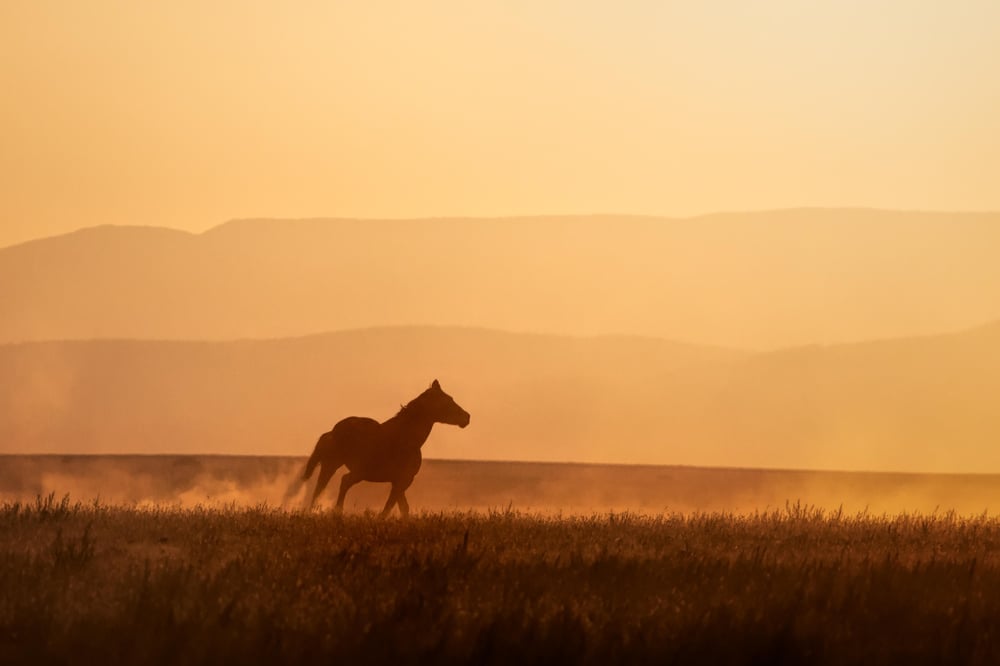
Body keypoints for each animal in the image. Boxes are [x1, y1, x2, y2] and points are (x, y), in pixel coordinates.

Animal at [296, 378, 468, 512]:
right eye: (447, 401)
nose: (467, 417)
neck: (406, 439)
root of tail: (333, 431)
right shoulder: (403, 480)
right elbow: (390, 507)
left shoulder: (399, 481)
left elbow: (403, 508)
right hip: (349, 469)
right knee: (341, 482)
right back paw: (335, 512)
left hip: (331, 465)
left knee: (320, 487)